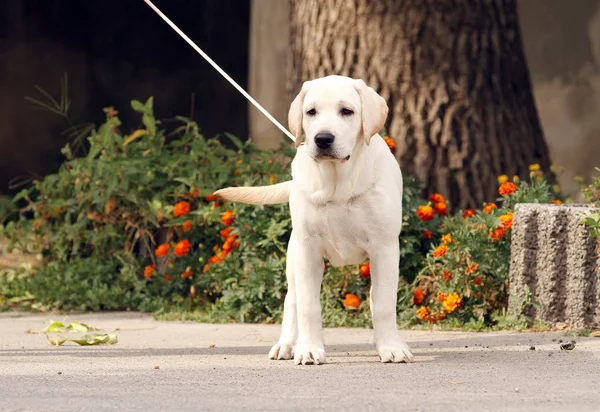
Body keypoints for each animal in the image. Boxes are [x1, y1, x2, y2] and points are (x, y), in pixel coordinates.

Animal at [213, 75, 414, 366]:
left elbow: (384, 303)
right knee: (292, 301)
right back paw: (286, 345)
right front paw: (308, 349)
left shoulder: (384, 247)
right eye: (311, 112)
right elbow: (308, 306)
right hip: (293, 256)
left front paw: (391, 347)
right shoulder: (308, 250)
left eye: (347, 111)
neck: (337, 181)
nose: (322, 139)